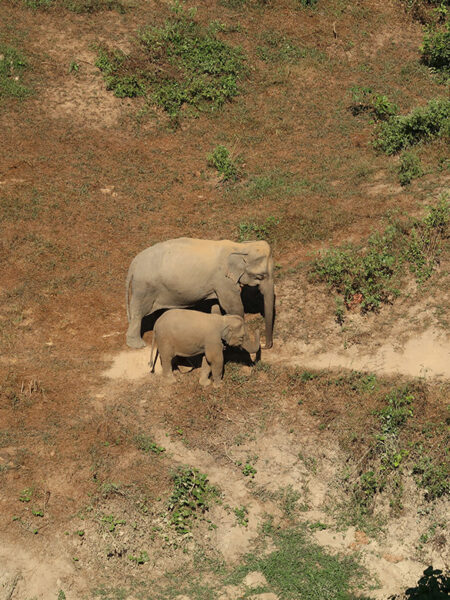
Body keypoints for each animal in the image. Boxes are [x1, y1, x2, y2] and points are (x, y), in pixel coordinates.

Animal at [125, 238, 276, 352]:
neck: (239, 247)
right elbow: (234, 307)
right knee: (139, 312)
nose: (265, 345)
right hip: (144, 287)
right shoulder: (223, 280)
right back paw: (137, 345)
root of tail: (133, 264)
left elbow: (216, 304)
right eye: (261, 276)